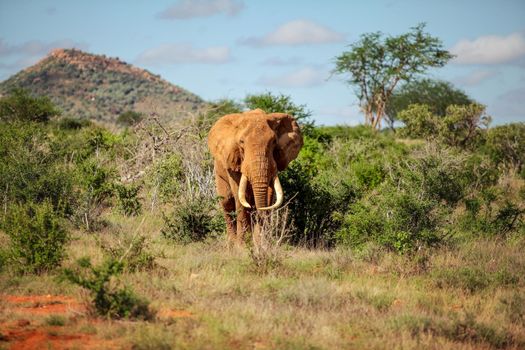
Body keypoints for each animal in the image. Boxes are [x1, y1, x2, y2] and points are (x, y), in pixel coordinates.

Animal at [206, 109, 300, 246]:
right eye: (241, 142)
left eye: (274, 142)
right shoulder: (234, 160)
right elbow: (241, 196)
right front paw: (242, 245)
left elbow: (269, 195)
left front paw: (261, 243)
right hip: (219, 172)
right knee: (226, 201)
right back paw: (231, 243)